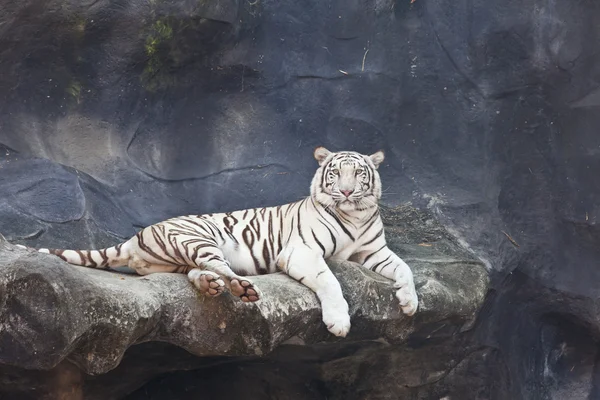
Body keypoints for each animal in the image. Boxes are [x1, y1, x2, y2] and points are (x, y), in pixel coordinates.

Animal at [15, 148, 418, 336]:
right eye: (335, 173)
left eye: (359, 174)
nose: (347, 191)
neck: (355, 215)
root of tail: (134, 236)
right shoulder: (302, 252)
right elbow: (330, 280)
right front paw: (339, 322)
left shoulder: (375, 251)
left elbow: (406, 269)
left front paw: (409, 302)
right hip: (200, 238)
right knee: (222, 268)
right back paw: (242, 289)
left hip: (179, 257)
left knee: (199, 273)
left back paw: (211, 286)